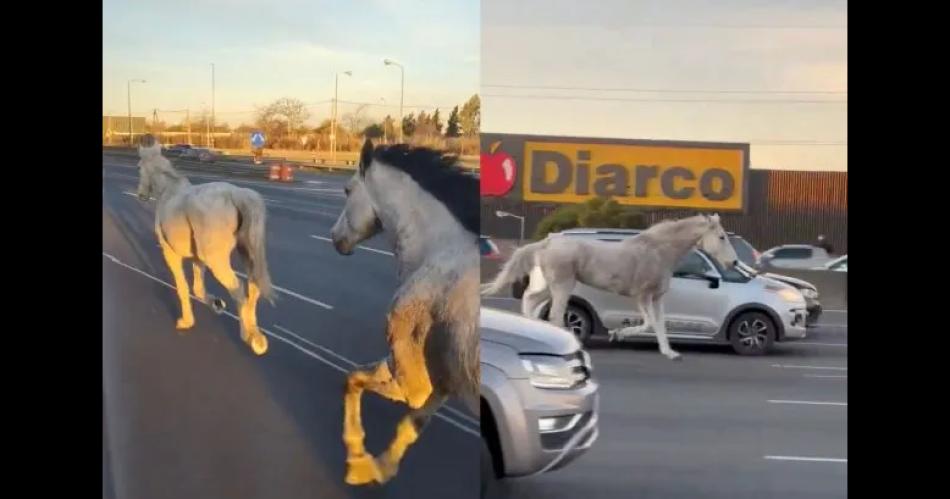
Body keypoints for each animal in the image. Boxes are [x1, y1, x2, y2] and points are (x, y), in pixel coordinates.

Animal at [134, 134, 276, 356]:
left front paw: (186, 321)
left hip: (217, 260)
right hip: (246, 252)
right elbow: (198, 289)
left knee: (238, 289)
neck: (168, 190)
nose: (141, 195)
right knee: (253, 285)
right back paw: (257, 336)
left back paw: (247, 334)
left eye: (139, 166)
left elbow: (183, 287)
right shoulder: (197, 259)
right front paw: (217, 304)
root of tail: (237, 195)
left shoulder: (170, 253)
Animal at [332, 139, 484, 486]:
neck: (438, 251)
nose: (336, 238)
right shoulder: (444, 378)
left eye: (347, 190)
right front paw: (376, 468)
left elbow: (353, 380)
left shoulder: (413, 379)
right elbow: (411, 425)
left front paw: (358, 461)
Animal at [484, 215, 744, 360]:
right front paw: (616, 334)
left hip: (550, 286)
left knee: (530, 301)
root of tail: (546, 243)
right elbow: (648, 323)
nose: (734, 262)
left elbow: (660, 324)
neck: (659, 251)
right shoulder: (642, 295)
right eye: (721, 237)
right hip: (562, 285)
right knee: (555, 315)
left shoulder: (657, 297)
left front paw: (670, 354)